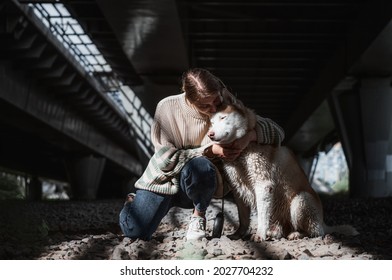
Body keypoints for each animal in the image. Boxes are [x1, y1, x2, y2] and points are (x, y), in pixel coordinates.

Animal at [208, 103, 358, 241]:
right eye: (212, 123)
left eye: (223, 117)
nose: (210, 134)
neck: (243, 150)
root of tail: (323, 223)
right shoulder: (239, 189)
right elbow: (243, 218)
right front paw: (238, 234)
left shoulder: (263, 185)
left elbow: (262, 215)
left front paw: (260, 234)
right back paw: (274, 232)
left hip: (300, 200)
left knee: (316, 232)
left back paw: (296, 234)